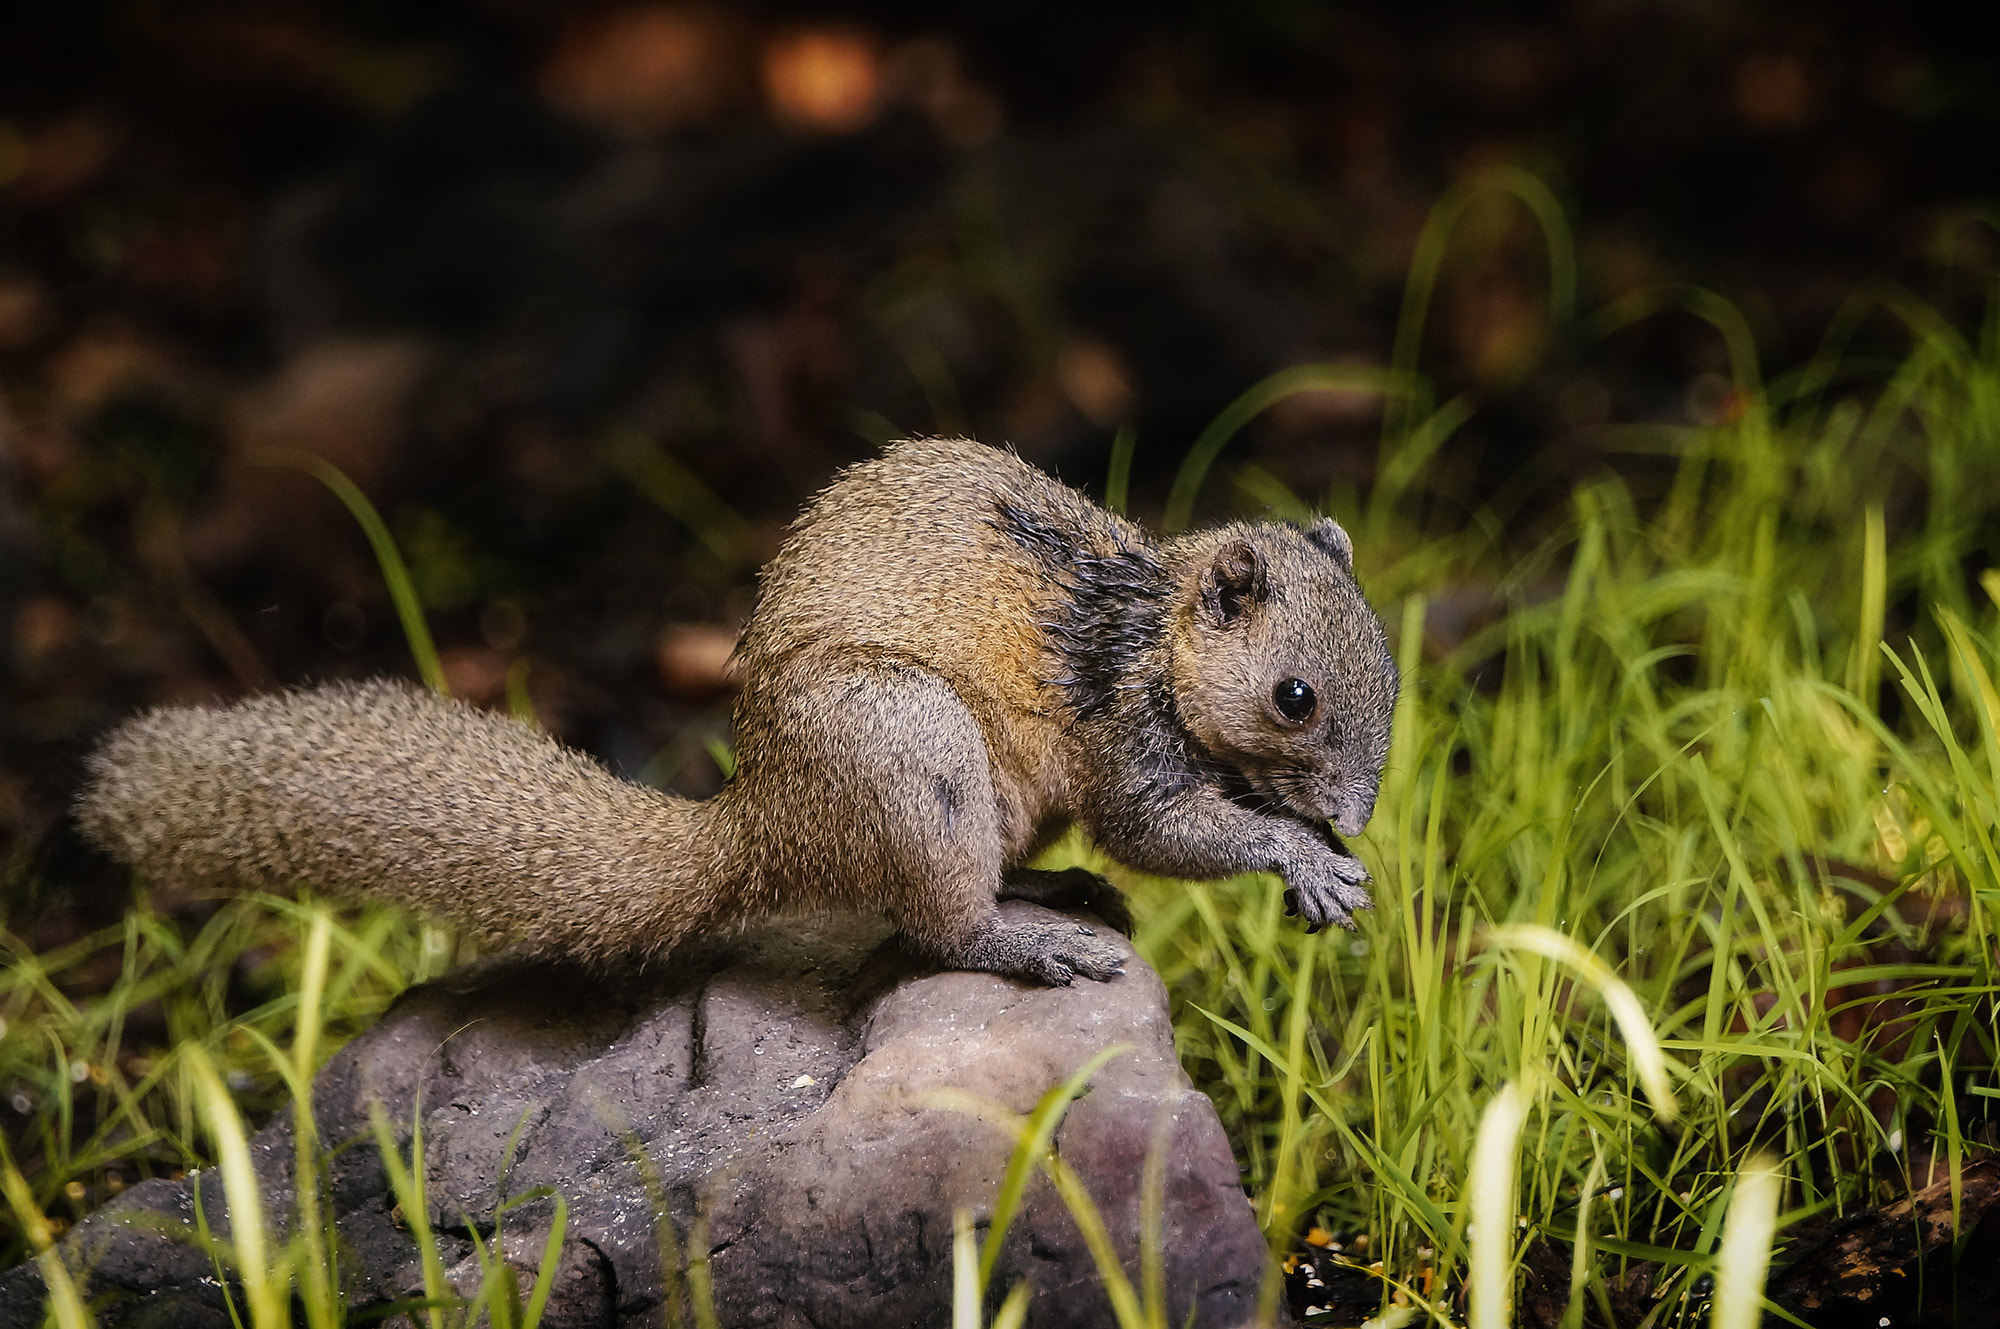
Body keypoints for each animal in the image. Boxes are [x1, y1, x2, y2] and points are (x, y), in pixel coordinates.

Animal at [74, 438, 1392, 984]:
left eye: (1387, 667)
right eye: (1293, 696)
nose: (1360, 814)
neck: (1149, 632)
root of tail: (765, 825)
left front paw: (1318, 855)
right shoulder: (1123, 737)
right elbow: (1160, 831)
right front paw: (1301, 860)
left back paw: (1056, 891)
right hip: (903, 743)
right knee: (937, 925)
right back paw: (1033, 942)